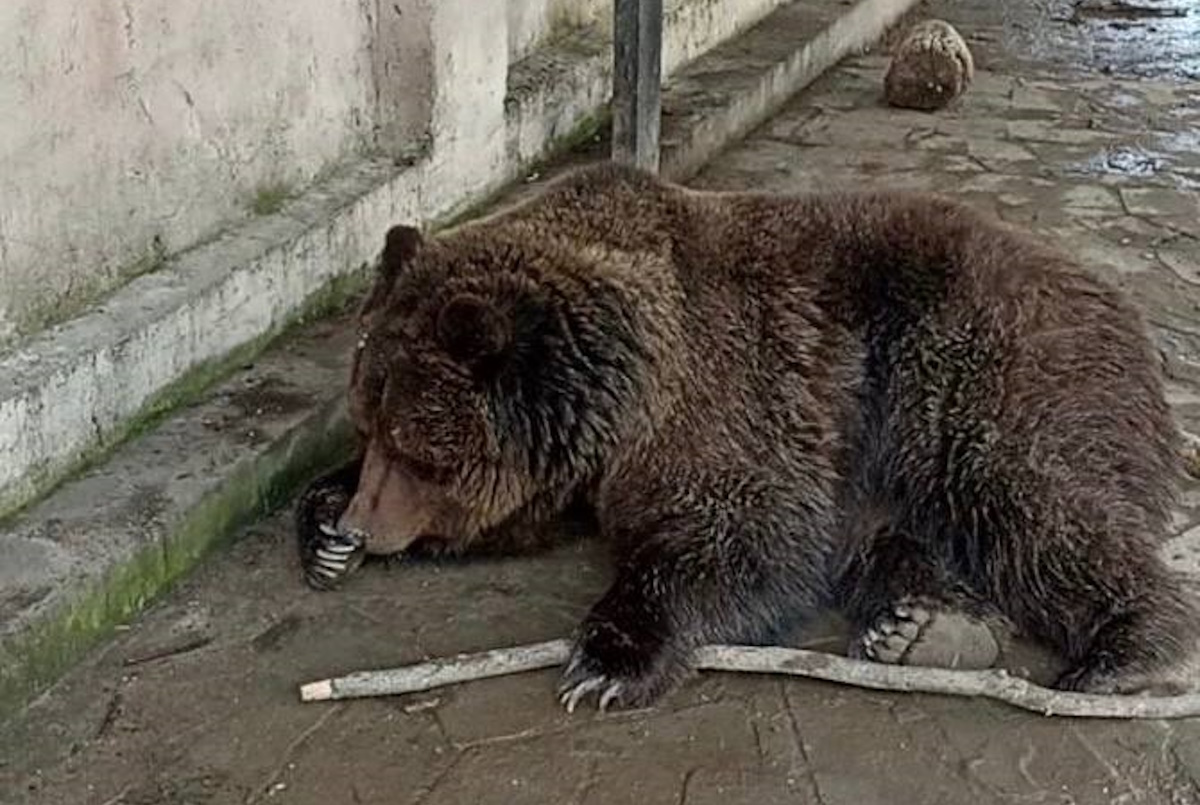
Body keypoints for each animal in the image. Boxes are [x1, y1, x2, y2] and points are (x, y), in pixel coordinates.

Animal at [295, 161, 1195, 710]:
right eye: (369, 421)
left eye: (416, 445)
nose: (364, 525)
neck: (622, 395)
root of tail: (1123, 310)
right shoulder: (577, 464)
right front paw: (322, 529)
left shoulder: (724, 391)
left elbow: (744, 529)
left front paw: (606, 661)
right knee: (904, 532)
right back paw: (925, 626)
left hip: (978, 368)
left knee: (1031, 499)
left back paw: (1122, 650)